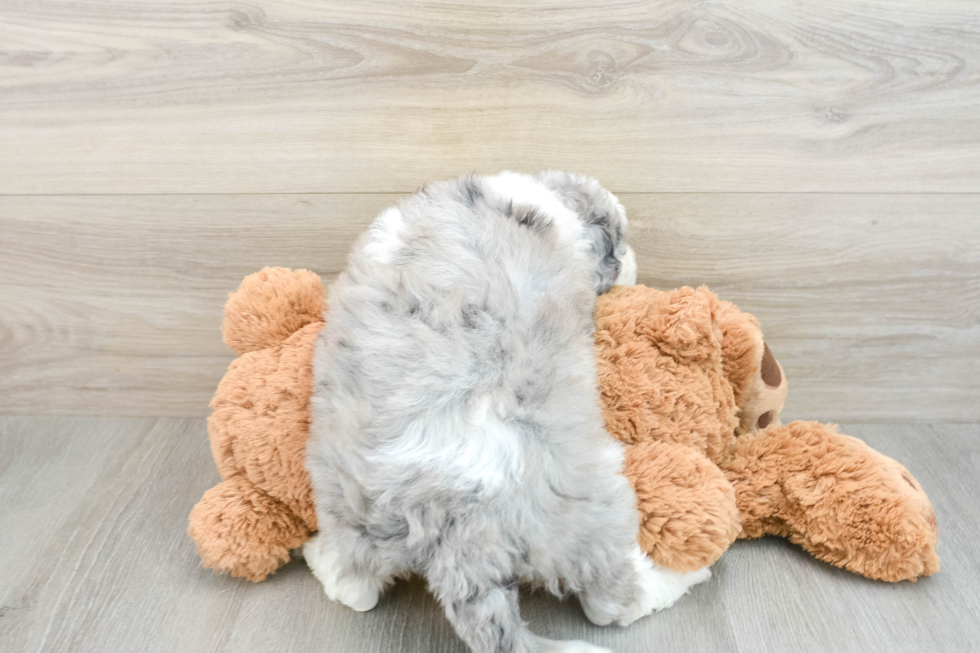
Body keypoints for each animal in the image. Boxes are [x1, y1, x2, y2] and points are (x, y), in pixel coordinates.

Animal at [302, 171, 708, 648]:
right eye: (619, 242)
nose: (631, 262)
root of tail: (457, 531)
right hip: (593, 517)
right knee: (611, 602)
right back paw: (678, 578)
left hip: (354, 518)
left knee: (354, 588)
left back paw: (321, 559)